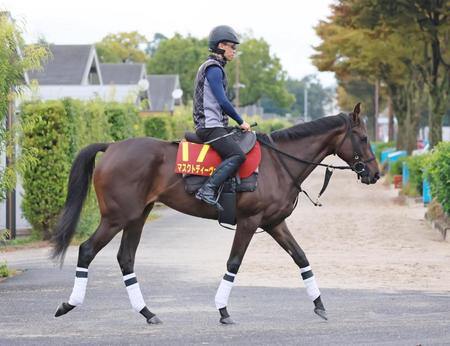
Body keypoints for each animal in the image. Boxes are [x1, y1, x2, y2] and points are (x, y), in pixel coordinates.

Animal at [52, 102, 380, 324]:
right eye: (363, 138)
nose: (375, 173)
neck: (277, 163)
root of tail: (112, 147)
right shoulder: (249, 222)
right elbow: (234, 262)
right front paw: (222, 309)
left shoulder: (275, 223)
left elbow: (301, 258)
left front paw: (320, 305)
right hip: (116, 218)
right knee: (86, 250)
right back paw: (68, 304)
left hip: (137, 216)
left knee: (126, 259)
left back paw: (147, 312)